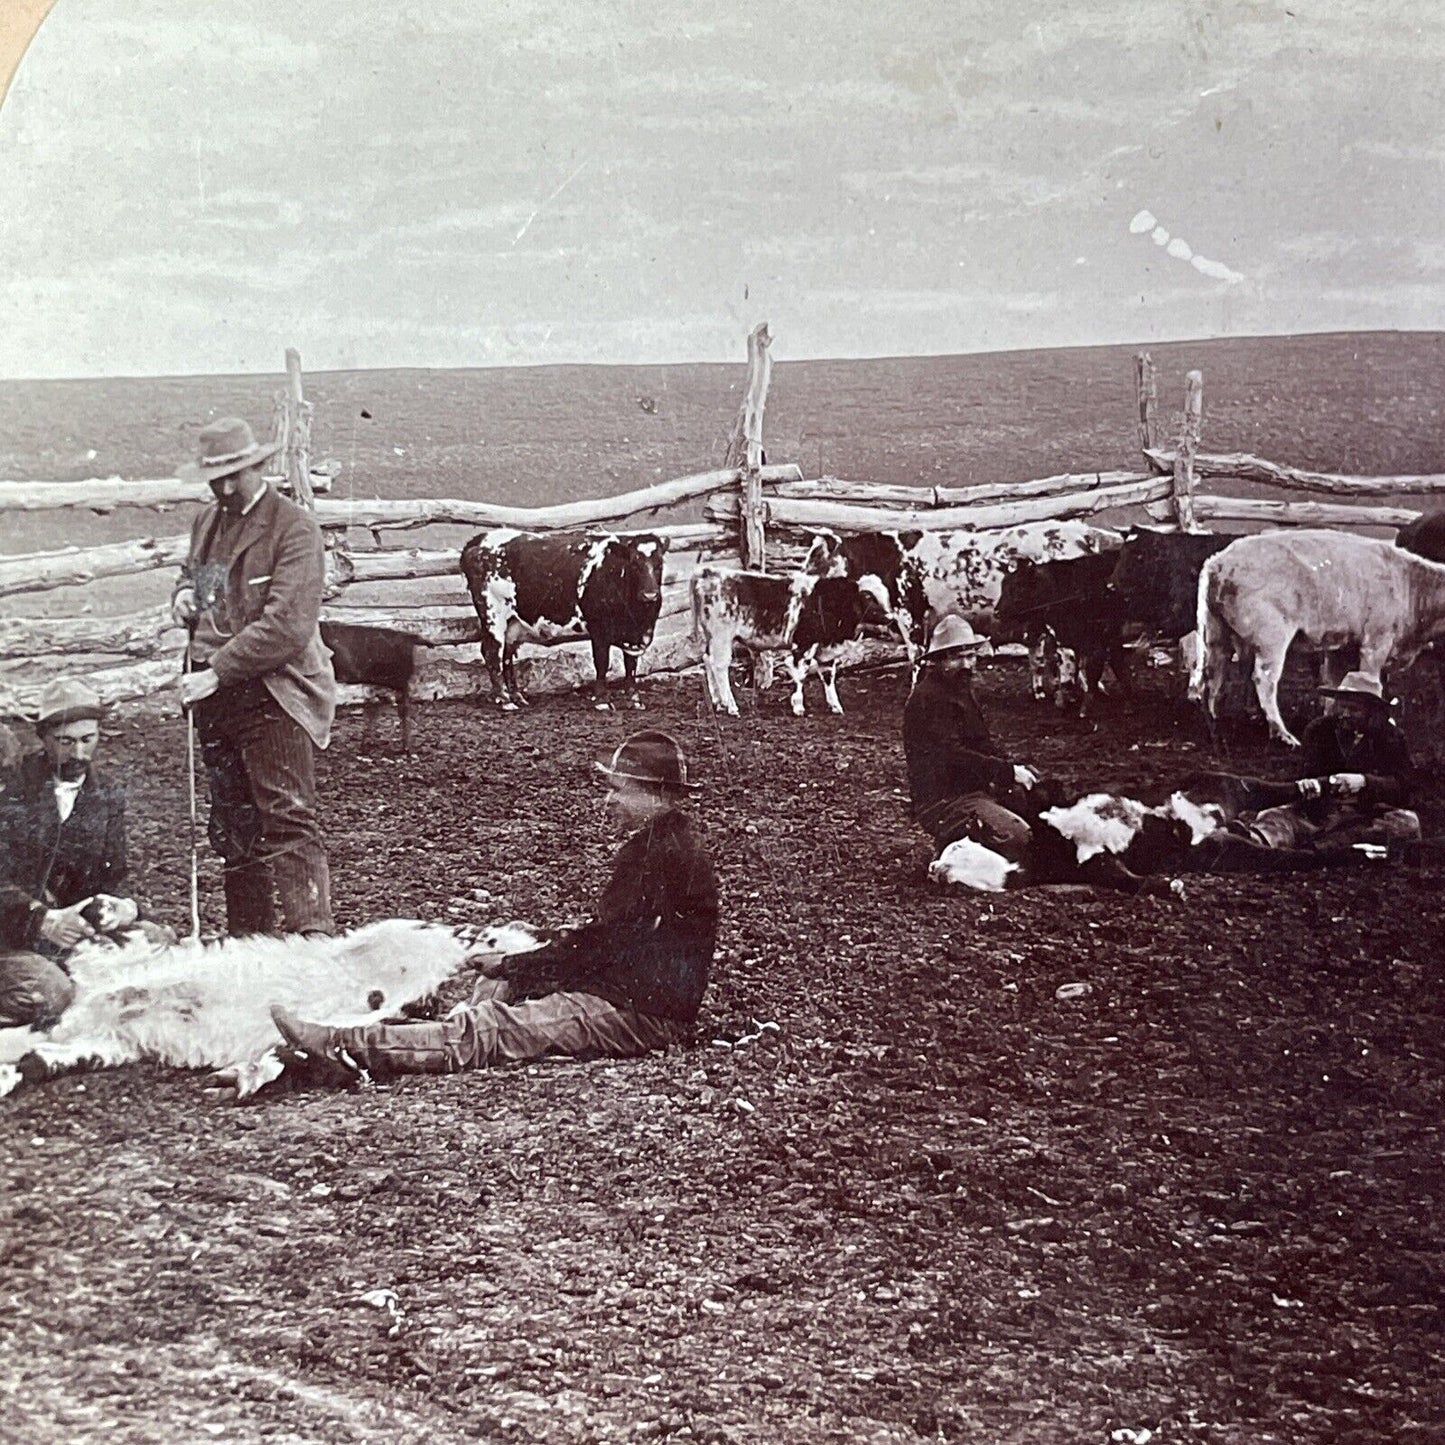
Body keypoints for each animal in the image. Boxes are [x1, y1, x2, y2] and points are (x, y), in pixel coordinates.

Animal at [456, 531, 670, 710]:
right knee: (492, 653)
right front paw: (602, 700)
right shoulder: (599, 629)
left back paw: (517, 696)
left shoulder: (634, 636)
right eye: (635, 563)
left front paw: (635, 700)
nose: (650, 595)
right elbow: (602, 663)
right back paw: (505, 700)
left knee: (506, 657)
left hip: (513, 623)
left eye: (660, 564)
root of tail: (481, 539)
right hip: (493, 616)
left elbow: (631, 666)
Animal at [1190, 531, 1445, 745]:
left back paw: (1216, 723)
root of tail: (1219, 563)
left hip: (1215, 634)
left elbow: (1335, 683)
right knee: (1263, 680)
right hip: (1271, 639)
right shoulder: (1376, 643)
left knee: (1214, 674)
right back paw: (1283, 734)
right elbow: (1369, 683)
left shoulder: (1343, 648)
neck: (1409, 583)